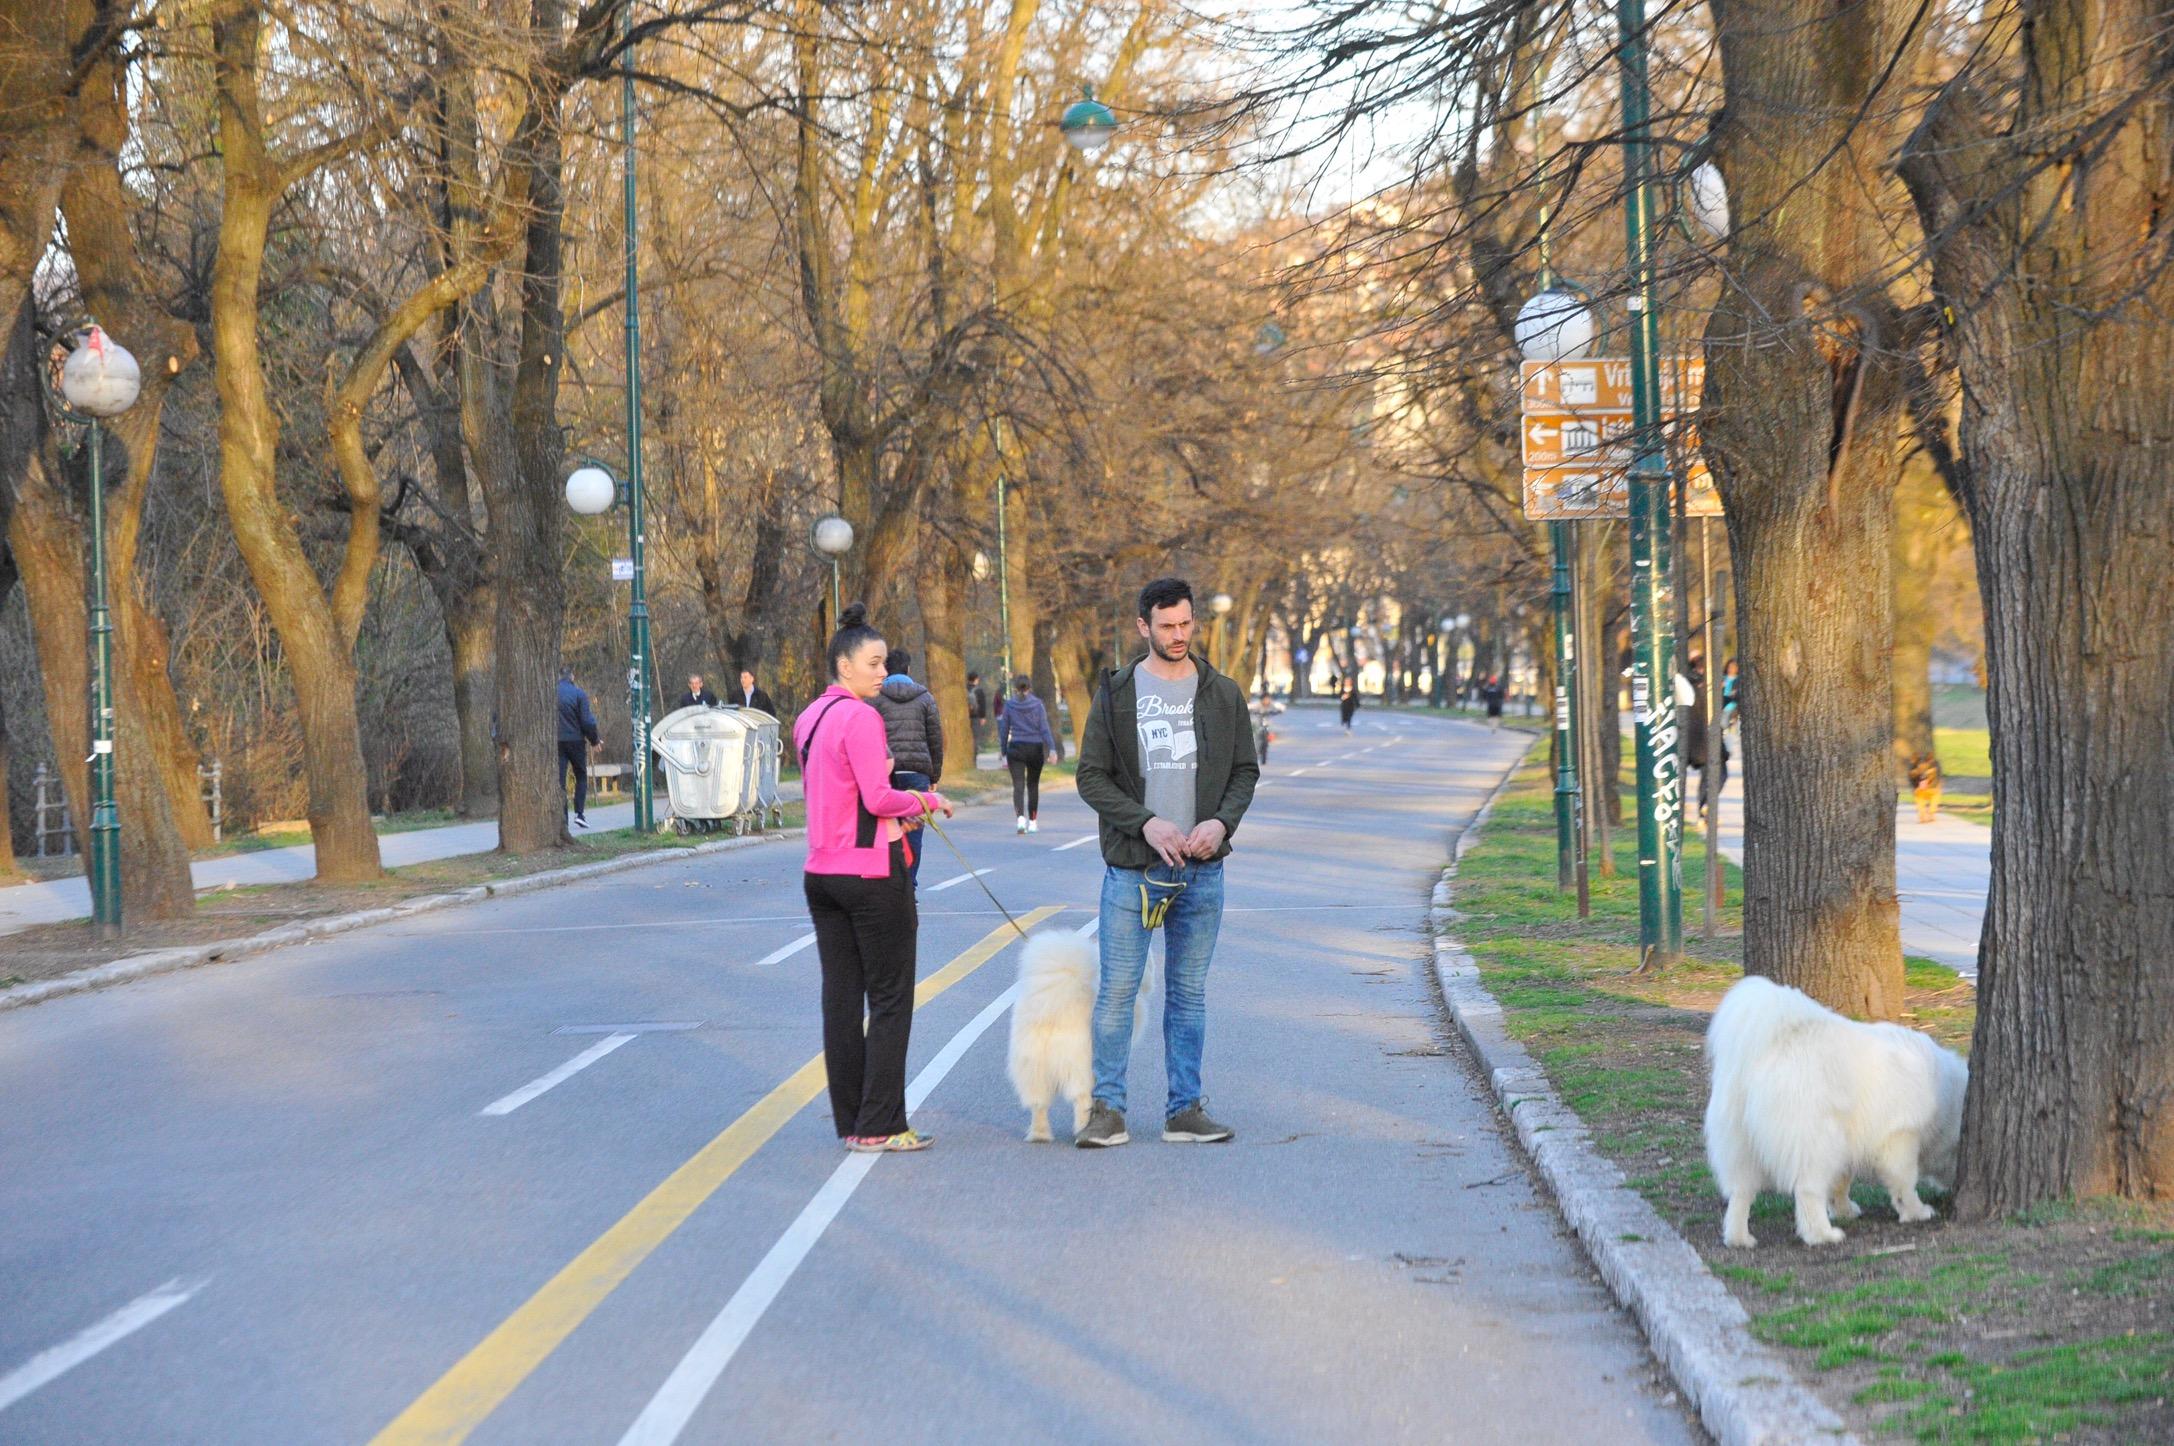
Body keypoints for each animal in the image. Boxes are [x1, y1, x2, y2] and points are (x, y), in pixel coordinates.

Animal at [1013, 926, 1165, 1139]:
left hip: (1032, 1069)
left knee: (1038, 1103)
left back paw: (1040, 1134)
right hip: (1080, 1067)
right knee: (1081, 1099)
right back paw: (1084, 1128)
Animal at [1695, 974, 1973, 1243]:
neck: (1945, 1093)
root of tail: (1775, 1045)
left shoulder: (1848, 1143)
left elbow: (1841, 1182)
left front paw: (1844, 1210)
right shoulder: (1900, 1138)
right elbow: (1904, 1181)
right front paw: (1916, 1212)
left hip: (1743, 1145)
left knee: (1740, 1193)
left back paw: (1739, 1238)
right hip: (1813, 1142)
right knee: (1807, 1190)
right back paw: (1821, 1235)